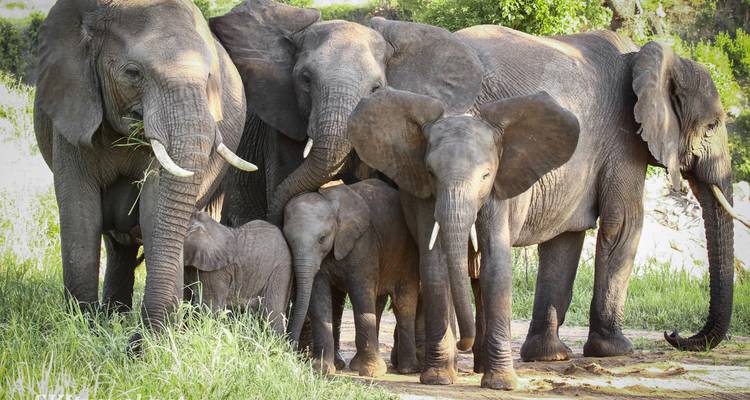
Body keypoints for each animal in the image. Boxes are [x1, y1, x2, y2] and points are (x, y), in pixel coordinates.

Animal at [33, 0, 255, 343]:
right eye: (133, 73)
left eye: (209, 79)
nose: (137, 342)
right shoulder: (72, 108)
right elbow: (80, 213)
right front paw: (83, 331)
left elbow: (155, 210)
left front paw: (155, 341)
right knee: (117, 246)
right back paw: (113, 318)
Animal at [282, 179, 421, 377]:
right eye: (288, 240)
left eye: (322, 238)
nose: (289, 352)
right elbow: (319, 298)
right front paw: (321, 369)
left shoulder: (363, 243)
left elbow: (361, 294)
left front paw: (371, 372)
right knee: (378, 302)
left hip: (406, 252)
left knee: (403, 302)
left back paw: (407, 369)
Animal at [349, 88, 580, 388]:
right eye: (431, 173)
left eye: (485, 175)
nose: (463, 344)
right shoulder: (425, 197)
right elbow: (435, 265)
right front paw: (438, 379)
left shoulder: (498, 195)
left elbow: (496, 265)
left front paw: (501, 384)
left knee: (480, 280)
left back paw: (480, 366)